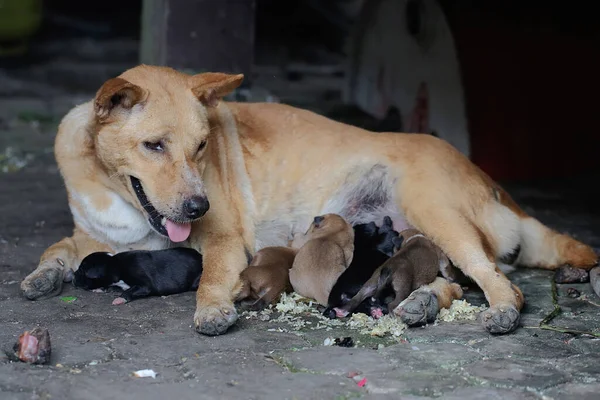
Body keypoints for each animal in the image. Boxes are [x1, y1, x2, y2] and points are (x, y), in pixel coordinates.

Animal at [72, 247, 204, 306]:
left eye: (82, 270)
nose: (73, 276)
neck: (114, 264)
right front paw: (100, 289)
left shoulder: (145, 285)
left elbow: (130, 290)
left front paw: (120, 299)